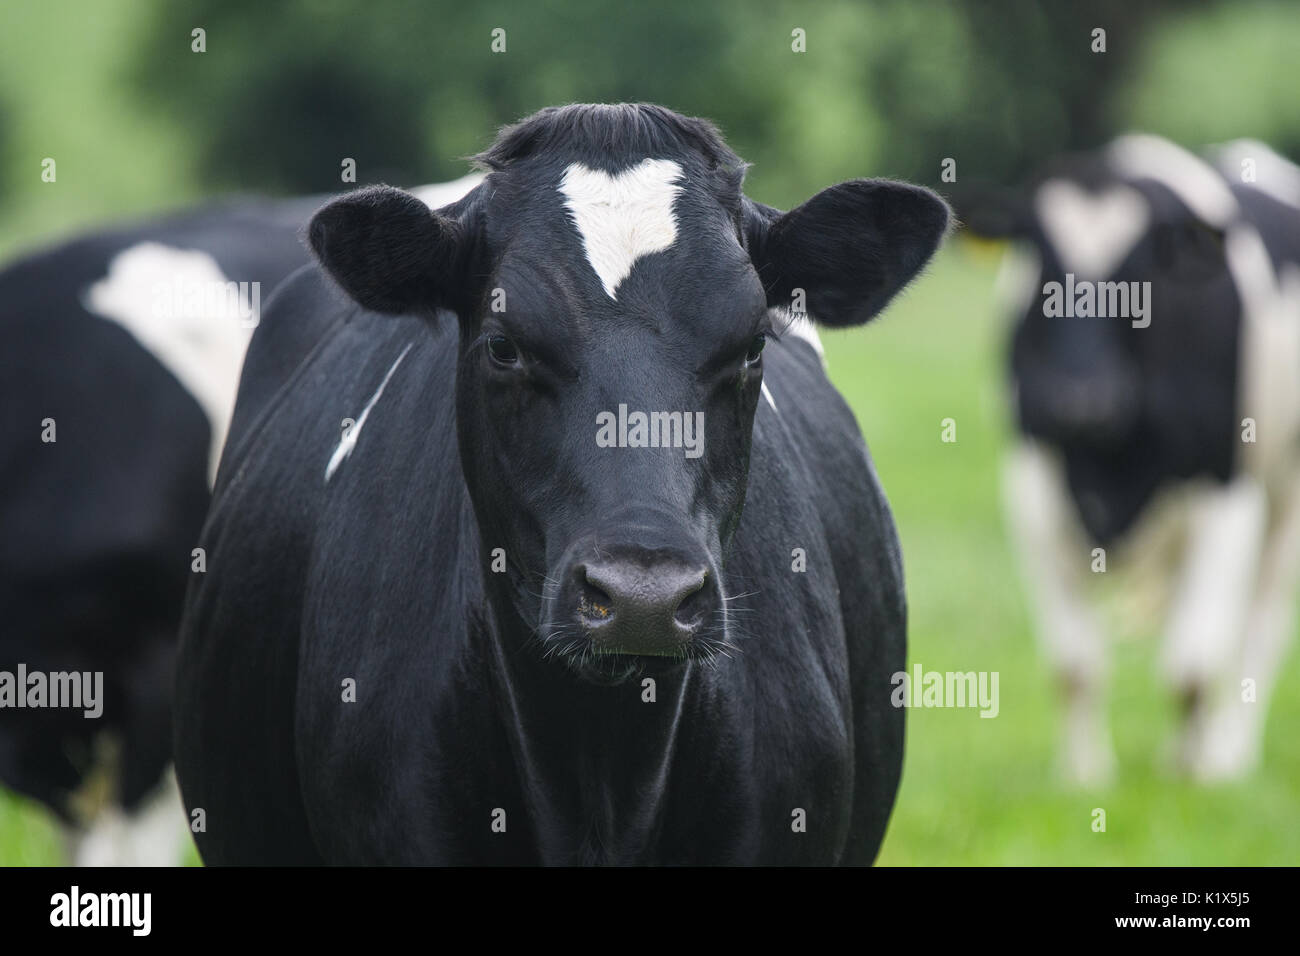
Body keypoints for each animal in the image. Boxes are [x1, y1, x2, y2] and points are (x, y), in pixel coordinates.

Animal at [969, 134, 1300, 784]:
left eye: (1141, 267)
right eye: (1041, 259)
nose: (1080, 397)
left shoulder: (1226, 496)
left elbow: (1193, 666)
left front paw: (1193, 773)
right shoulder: (1032, 495)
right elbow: (1074, 666)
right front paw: (1084, 775)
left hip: (1285, 492)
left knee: (1258, 624)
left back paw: (1229, 750)